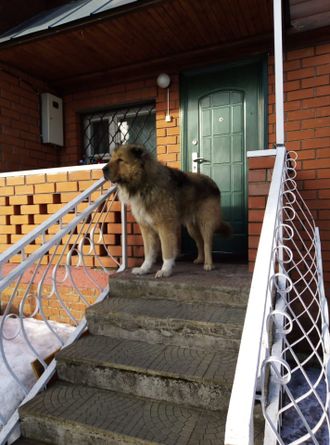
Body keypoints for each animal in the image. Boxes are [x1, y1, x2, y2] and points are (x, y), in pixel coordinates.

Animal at [102, 145, 231, 278]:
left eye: (120, 160)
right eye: (111, 159)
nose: (103, 170)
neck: (144, 183)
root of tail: (212, 181)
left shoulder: (165, 226)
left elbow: (166, 250)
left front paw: (165, 270)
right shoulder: (146, 228)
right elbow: (148, 252)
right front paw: (144, 269)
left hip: (206, 222)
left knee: (207, 243)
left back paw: (208, 264)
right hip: (192, 228)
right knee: (199, 242)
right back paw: (200, 259)